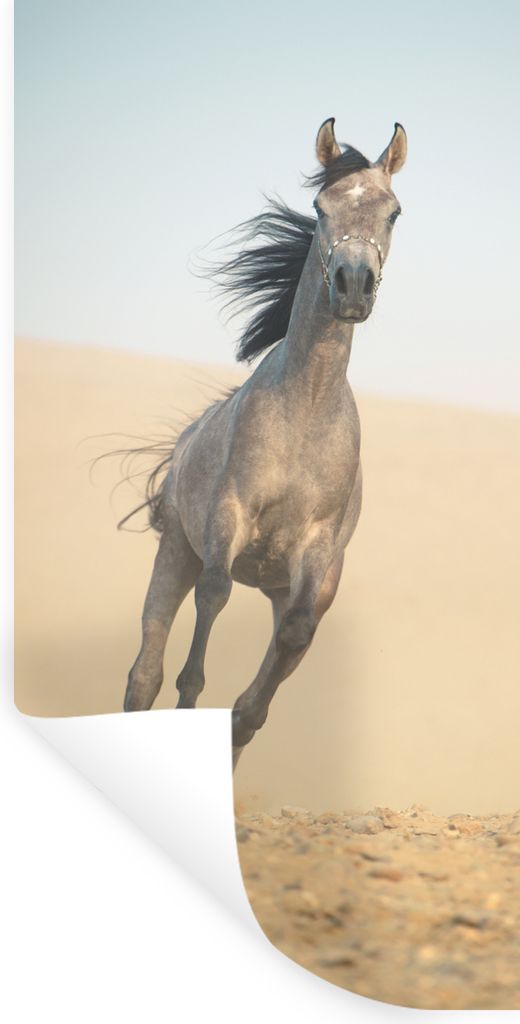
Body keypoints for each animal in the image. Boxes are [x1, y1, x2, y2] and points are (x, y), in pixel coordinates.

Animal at [123, 117, 407, 769]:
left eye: (394, 212)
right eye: (321, 207)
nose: (352, 286)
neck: (305, 408)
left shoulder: (317, 554)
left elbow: (289, 645)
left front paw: (239, 722)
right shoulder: (229, 520)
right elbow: (212, 604)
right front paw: (191, 707)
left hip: (285, 584)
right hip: (175, 552)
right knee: (144, 673)